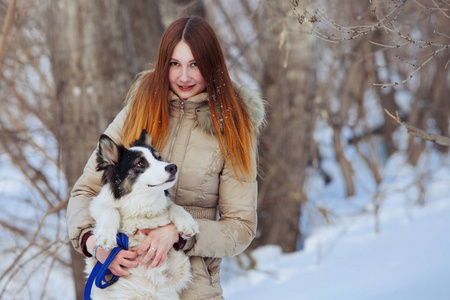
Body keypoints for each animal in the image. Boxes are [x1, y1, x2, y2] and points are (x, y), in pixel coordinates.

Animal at [86, 130, 199, 300]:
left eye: (158, 158)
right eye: (140, 163)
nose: (173, 167)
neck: (141, 209)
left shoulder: (178, 268)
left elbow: (172, 205)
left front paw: (187, 223)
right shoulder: (96, 205)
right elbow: (110, 210)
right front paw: (105, 235)